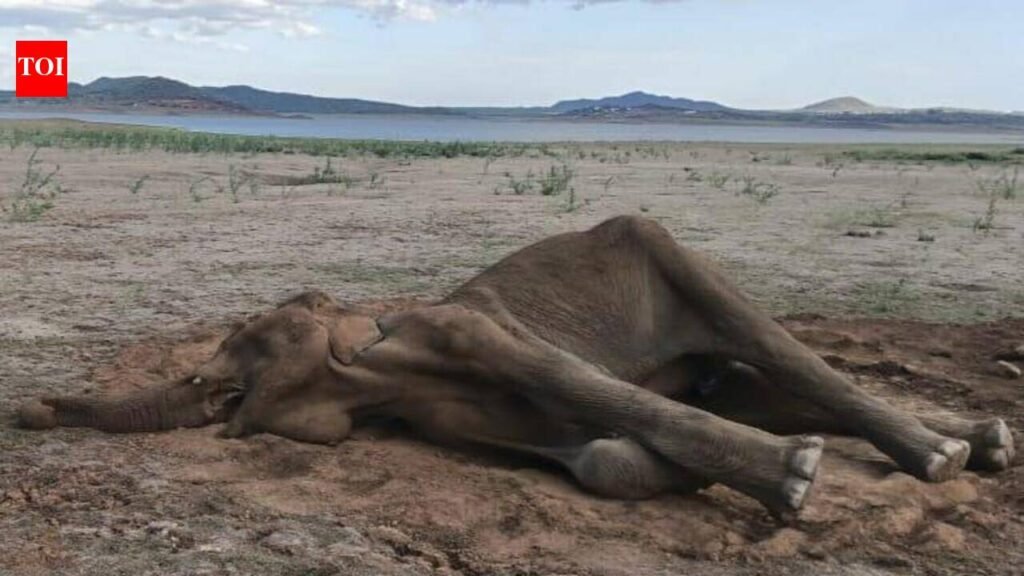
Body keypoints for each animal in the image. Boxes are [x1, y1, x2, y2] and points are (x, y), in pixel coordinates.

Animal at [17, 215, 1014, 517]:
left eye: (242, 333)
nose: (25, 411)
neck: (370, 368)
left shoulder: (461, 331)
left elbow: (574, 388)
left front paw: (797, 478)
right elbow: (600, 458)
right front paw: (682, 479)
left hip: (661, 256)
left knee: (773, 346)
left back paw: (940, 457)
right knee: (746, 385)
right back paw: (984, 440)